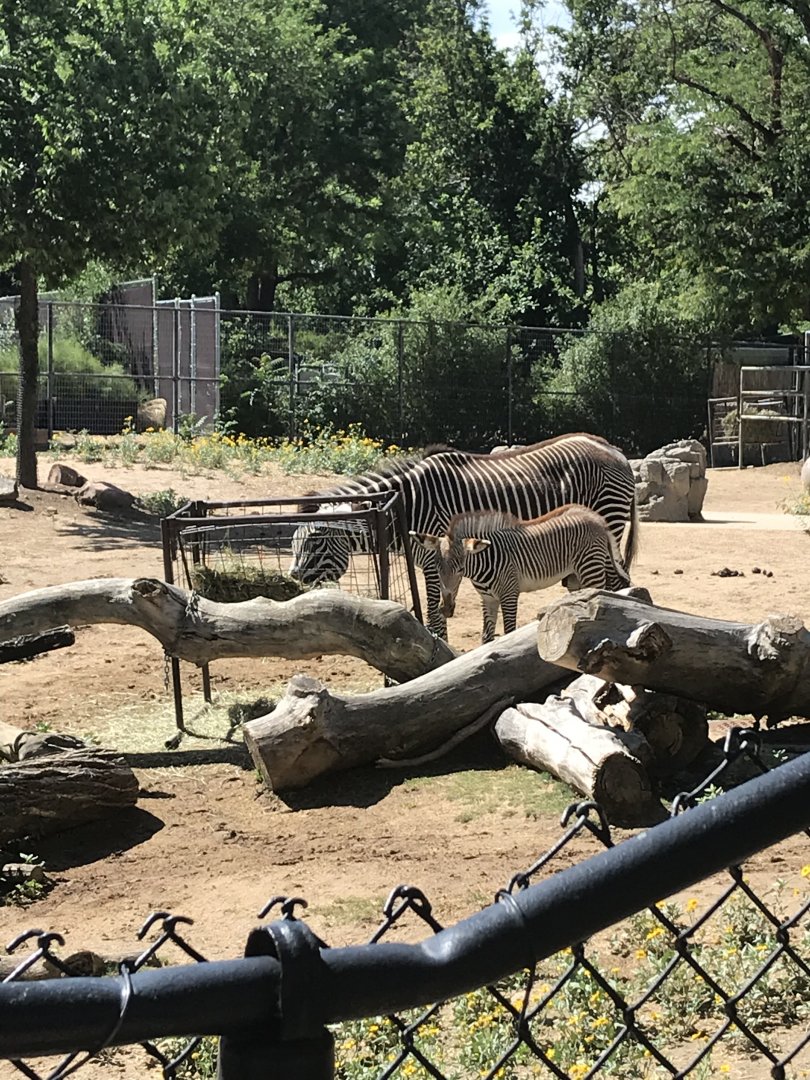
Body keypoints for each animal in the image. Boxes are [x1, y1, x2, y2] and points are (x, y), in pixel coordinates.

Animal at [412, 504, 631, 644]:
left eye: (460, 569)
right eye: (437, 568)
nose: (446, 609)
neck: (485, 561)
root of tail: (595, 517)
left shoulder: (509, 594)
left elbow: (509, 631)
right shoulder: (488, 599)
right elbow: (486, 638)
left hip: (590, 568)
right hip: (578, 575)